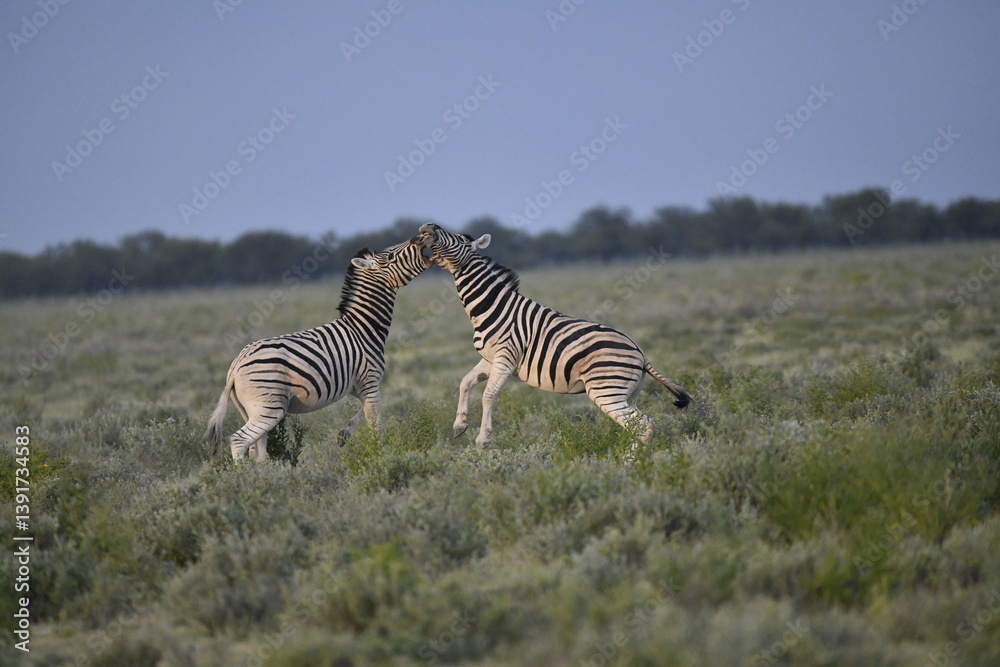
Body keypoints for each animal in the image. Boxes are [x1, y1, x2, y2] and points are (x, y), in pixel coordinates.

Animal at [205, 239, 432, 460]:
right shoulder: (370, 381)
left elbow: (362, 414)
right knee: (239, 440)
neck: (362, 327)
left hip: (251, 409)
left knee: (257, 451)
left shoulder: (359, 387)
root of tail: (235, 366)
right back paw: (244, 473)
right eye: (391, 256)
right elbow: (376, 425)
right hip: (269, 408)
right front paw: (380, 454)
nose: (419, 240)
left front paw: (344, 434)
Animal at [417, 222, 691, 449]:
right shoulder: (490, 358)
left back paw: (628, 467)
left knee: (643, 427)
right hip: (626, 394)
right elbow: (465, 382)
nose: (428, 227)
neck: (494, 307)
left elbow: (488, 395)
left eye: (459, 239)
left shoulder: (505, 358)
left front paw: (483, 438)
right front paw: (459, 424)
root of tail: (641, 353)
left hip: (606, 391)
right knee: (638, 426)